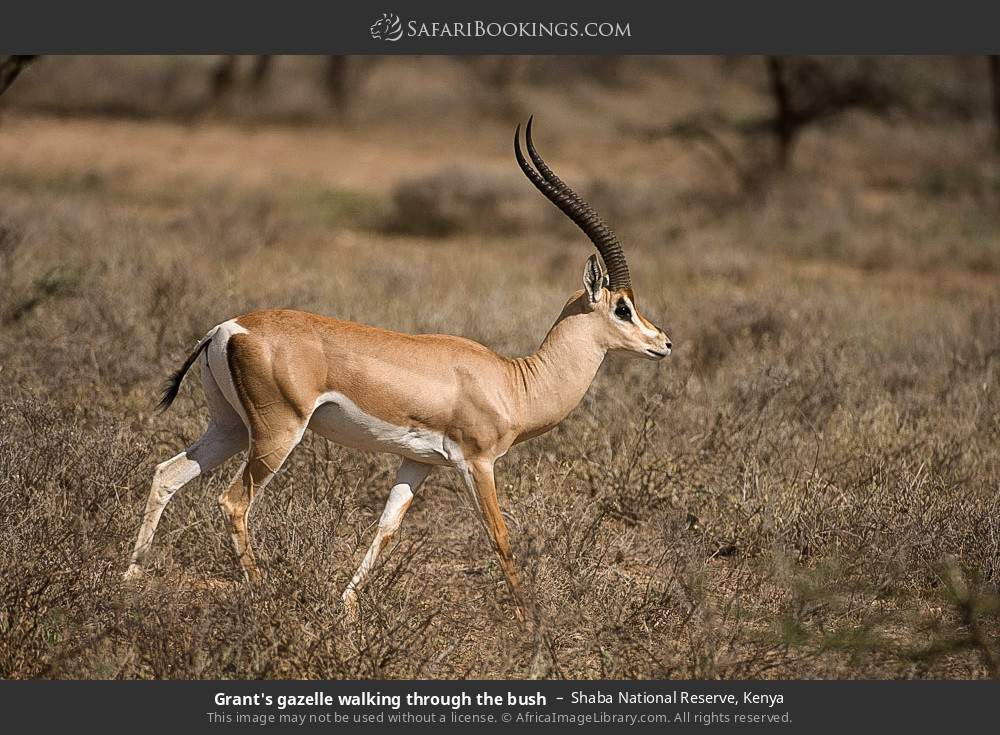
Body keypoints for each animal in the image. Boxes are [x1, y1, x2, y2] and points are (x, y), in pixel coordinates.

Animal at [124, 118, 672, 623]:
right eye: (623, 307)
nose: (664, 344)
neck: (513, 382)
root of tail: (226, 327)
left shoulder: (418, 463)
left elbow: (386, 529)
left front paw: (345, 607)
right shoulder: (477, 463)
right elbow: (497, 533)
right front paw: (529, 620)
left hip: (231, 427)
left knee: (167, 473)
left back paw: (128, 577)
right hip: (278, 433)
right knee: (233, 501)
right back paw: (260, 593)